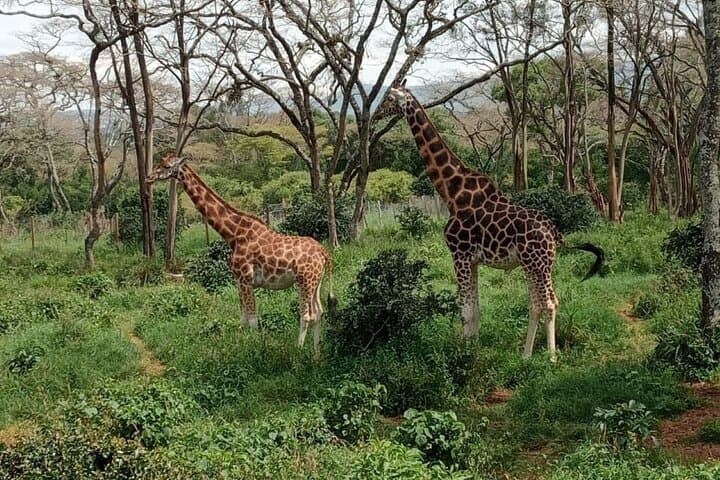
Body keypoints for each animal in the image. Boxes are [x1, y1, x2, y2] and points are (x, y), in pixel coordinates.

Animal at [146, 153, 335, 358]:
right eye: (159, 162)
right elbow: (243, 319)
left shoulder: (246, 278)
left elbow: (252, 320)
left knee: (306, 315)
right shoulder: (238, 280)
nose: (148, 178)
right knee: (318, 313)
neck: (233, 234)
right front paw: (243, 349)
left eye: (165, 165)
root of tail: (324, 252)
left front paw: (257, 351)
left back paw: (298, 352)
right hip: (316, 281)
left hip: (304, 280)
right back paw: (316, 354)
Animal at [372, 82, 604, 360]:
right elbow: (475, 310)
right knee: (536, 304)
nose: (374, 115)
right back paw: (526, 355)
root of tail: (554, 232)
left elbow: (465, 311)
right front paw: (472, 349)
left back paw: (551, 357)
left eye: (388, 98)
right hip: (532, 265)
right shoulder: (472, 260)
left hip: (538, 264)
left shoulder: (459, 255)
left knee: (549, 302)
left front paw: (464, 355)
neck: (452, 194)